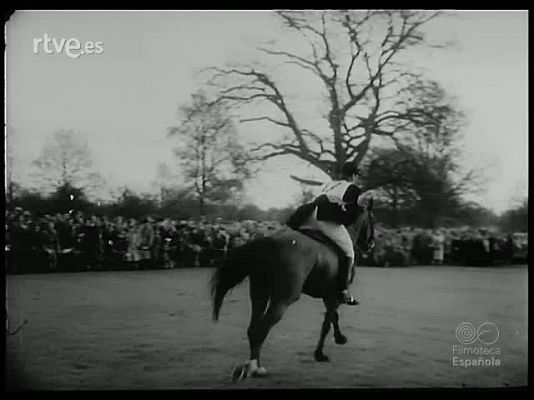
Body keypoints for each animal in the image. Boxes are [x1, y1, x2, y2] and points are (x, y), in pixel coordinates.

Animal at [210, 200, 376, 382]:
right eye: (372, 221)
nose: (371, 245)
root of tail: (270, 243)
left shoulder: (328, 295)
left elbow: (333, 318)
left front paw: (339, 338)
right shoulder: (333, 297)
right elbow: (327, 323)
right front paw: (320, 353)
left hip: (260, 294)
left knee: (253, 328)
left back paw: (254, 367)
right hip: (284, 299)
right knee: (262, 329)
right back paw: (254, 368)